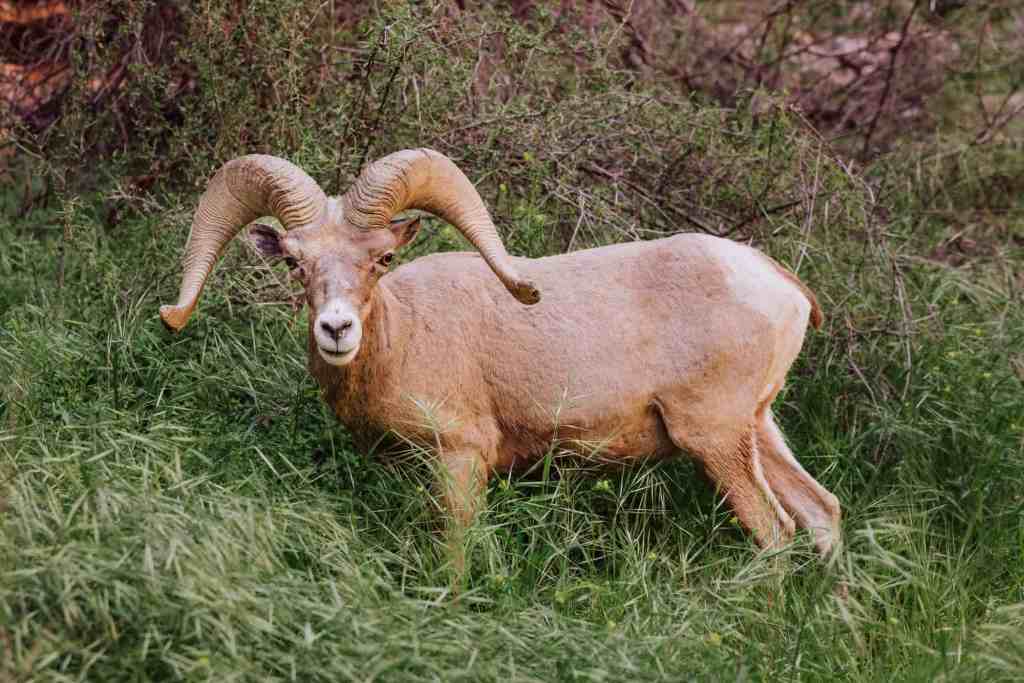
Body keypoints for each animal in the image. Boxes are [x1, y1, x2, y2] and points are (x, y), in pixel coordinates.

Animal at [161, 148, 839, 565]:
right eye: (295, 264)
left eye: (382, 258)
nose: (336, 328)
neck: (403, 338)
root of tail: (778, 282)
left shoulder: (462, 460)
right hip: (757, 430)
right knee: (822, 514)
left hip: (716, 437)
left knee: (776, 534)